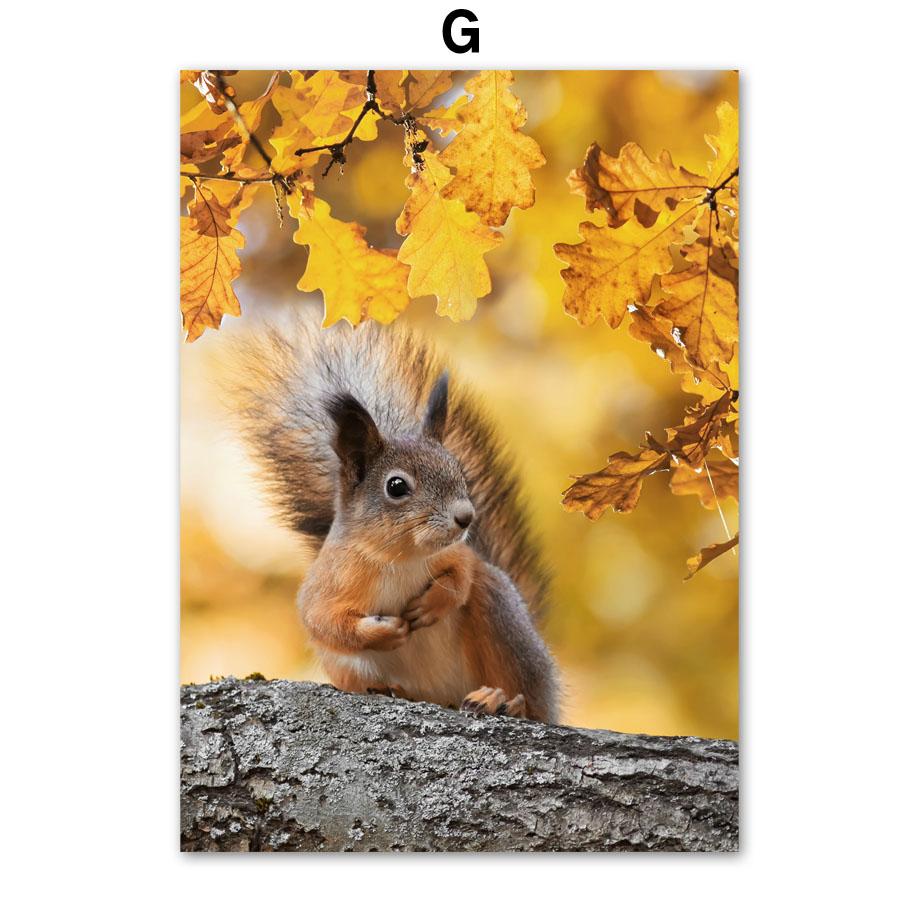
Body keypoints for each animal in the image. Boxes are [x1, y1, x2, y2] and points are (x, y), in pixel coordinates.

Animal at [232, 313, 560, 723]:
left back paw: (504, 701)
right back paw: (394, 691)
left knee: (527, 694)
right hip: (349, 668)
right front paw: (384, 632)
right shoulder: (326, 586)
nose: (466, 518)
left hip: (502, 618)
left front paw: (434, 602)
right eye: (397, 486)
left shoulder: (457, 553)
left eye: (459, 472)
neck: (399, 558)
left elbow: (463, 571)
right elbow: (324, 623)